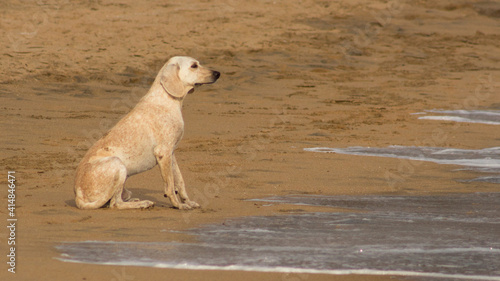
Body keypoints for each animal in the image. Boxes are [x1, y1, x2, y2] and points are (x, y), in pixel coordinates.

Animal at [73, 55, 221, 209]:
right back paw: (143, 203)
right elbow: (170, 186)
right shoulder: (163, 153)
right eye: (194, 66)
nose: (218, 73)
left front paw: (188, 202)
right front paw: (179, 205)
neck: (167, 99)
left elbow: (180, 181)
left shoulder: (171, 153)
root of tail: (78, 195)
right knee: (116, 203)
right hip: (117, 164)